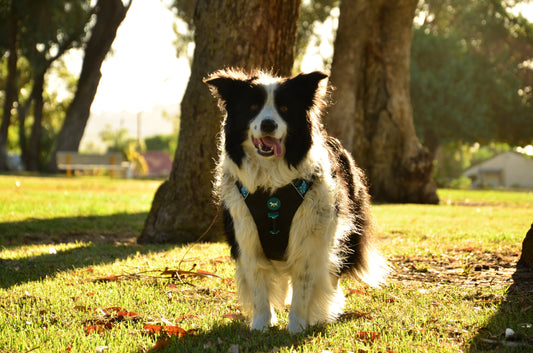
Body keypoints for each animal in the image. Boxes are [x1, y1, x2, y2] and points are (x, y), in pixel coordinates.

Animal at [205, 69, 386, 332]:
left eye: (284, 108)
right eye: (252, 106)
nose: (268, 124)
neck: (271, 183)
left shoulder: (310, 235)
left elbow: (304, 283)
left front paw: (297, 327)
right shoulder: (246, 233)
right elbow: (258, 287)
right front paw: (261, 325)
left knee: (332, 270)